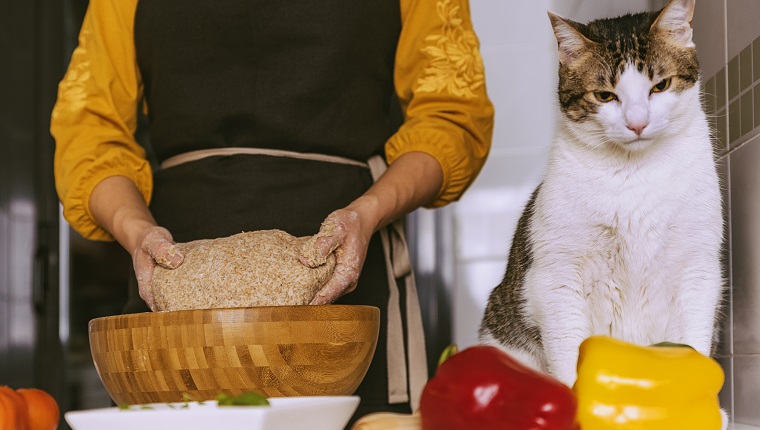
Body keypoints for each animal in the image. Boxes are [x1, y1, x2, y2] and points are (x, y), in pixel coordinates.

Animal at [478, 0, 720, 390]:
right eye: (605, 95)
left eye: (660, 85)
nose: (637, 123)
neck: (635, 174)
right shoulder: (558, 277)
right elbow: (567, 353)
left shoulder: (697, 267)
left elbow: (694, 340)